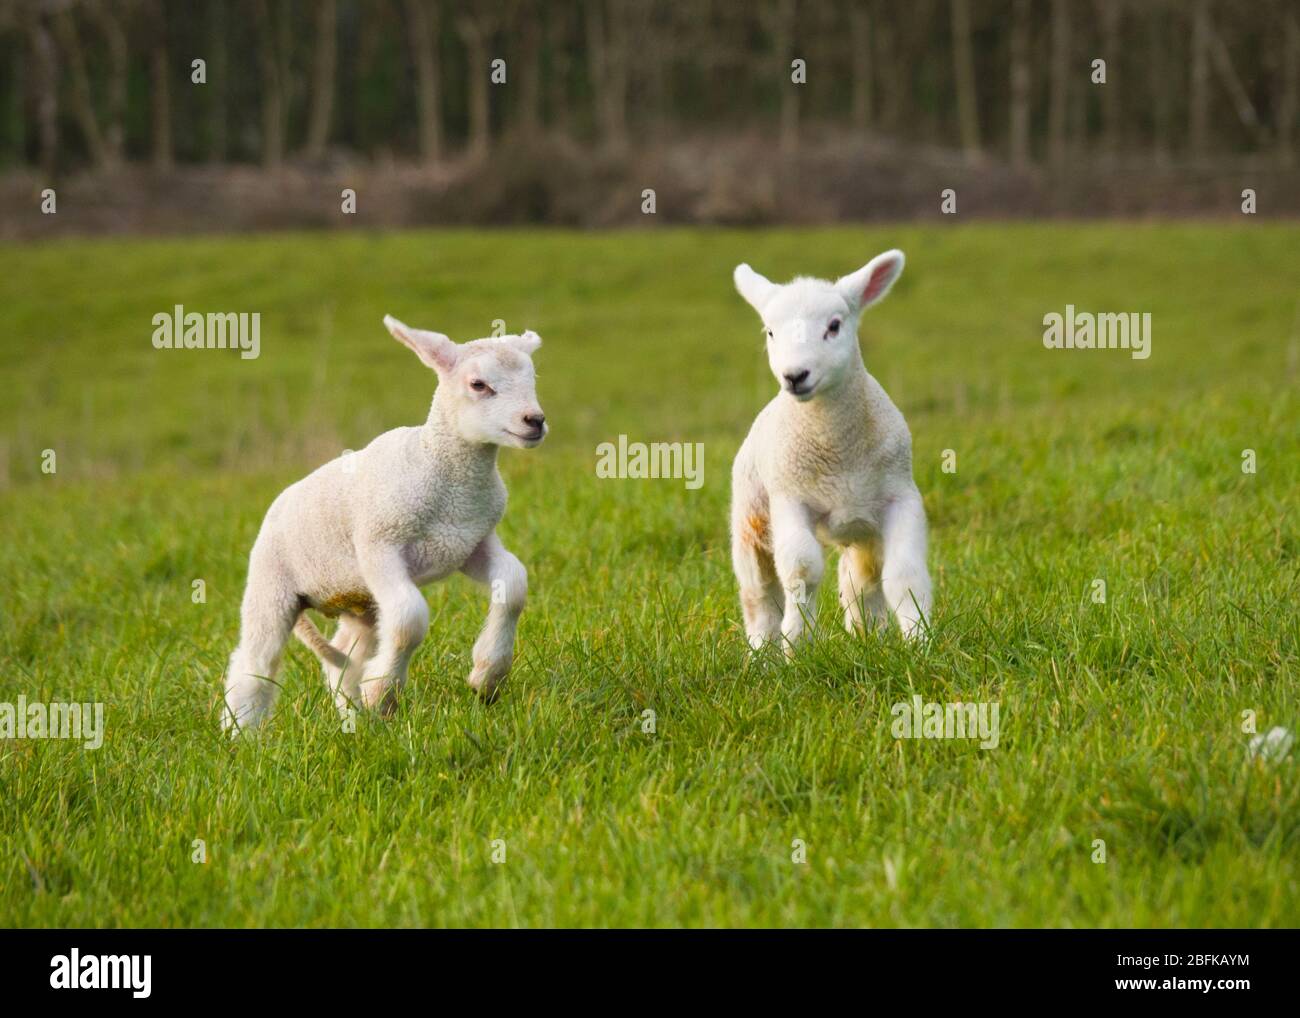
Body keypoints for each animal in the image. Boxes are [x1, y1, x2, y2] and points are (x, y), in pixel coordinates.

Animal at [223, 312, 548, 733]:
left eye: (532, 378)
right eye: (478, 384)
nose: (535, 421)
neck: (444, 476)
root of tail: (278, 502)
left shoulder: (471, 542)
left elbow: (514, 584)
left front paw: (487, 677)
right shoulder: (379, 545)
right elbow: (410, 619)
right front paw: (382, 694)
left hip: (359, 601)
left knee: (344, 654)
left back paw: (353, 719)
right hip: (273, 583)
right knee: (254, 661)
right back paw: (243, 734)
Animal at [728, 250, 930, 657]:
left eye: (834, 326)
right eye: (770, 332)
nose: (795, 375)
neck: (837, 449)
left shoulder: (901, 496)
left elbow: (904, 572)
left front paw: (920, 641)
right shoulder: (790, 498)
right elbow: (802, 570)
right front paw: (795, 644)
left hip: (862, 528)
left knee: (859, 581)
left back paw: (869, 638)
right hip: (751, 515)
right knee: (760, 594)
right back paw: (760, 656)